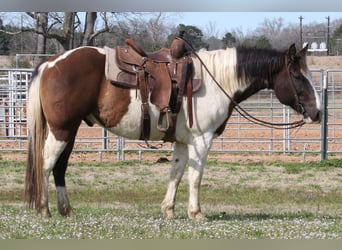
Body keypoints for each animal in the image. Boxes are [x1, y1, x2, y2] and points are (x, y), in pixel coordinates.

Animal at [24, 42, 320, 222]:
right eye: (297, 76)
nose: (317, 113)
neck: (216, 81)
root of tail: (50, 63)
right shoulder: (202, 140)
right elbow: (195, 177)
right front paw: (196, 213)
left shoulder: (182, 141)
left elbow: (176, 174)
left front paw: (168, 210)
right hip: (61, 130)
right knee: (46, 165)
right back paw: (44, 209)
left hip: (70, 130)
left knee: (59, 168)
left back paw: (66, 210)